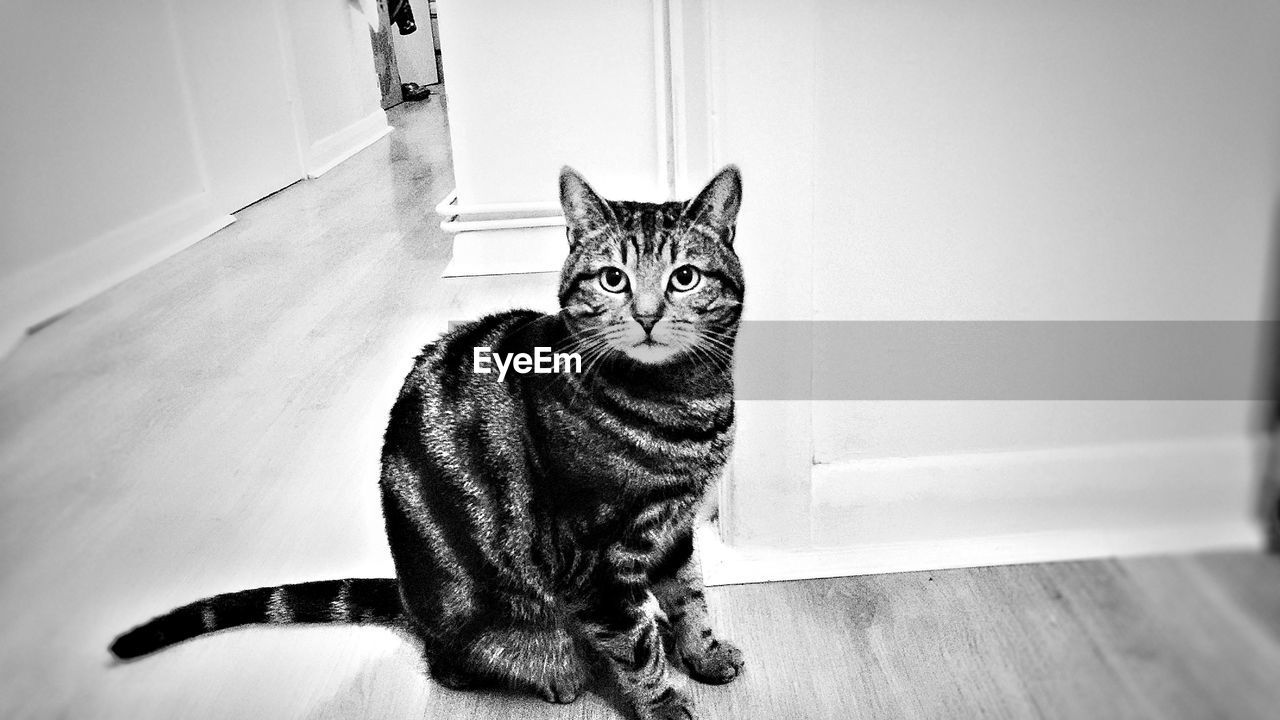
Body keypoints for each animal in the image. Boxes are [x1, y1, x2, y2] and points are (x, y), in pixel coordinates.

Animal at [113, 163, 747, 717]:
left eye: (685, 277)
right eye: (614, 278)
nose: (647, 315)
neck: (684, 403)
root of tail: (408, 599)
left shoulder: (674, 530)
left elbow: (690, 596)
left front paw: (703, 655)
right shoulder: (595, 562)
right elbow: (639, 651)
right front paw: (665, 704)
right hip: (492, 623)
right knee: (453, 664)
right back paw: (557, 676)